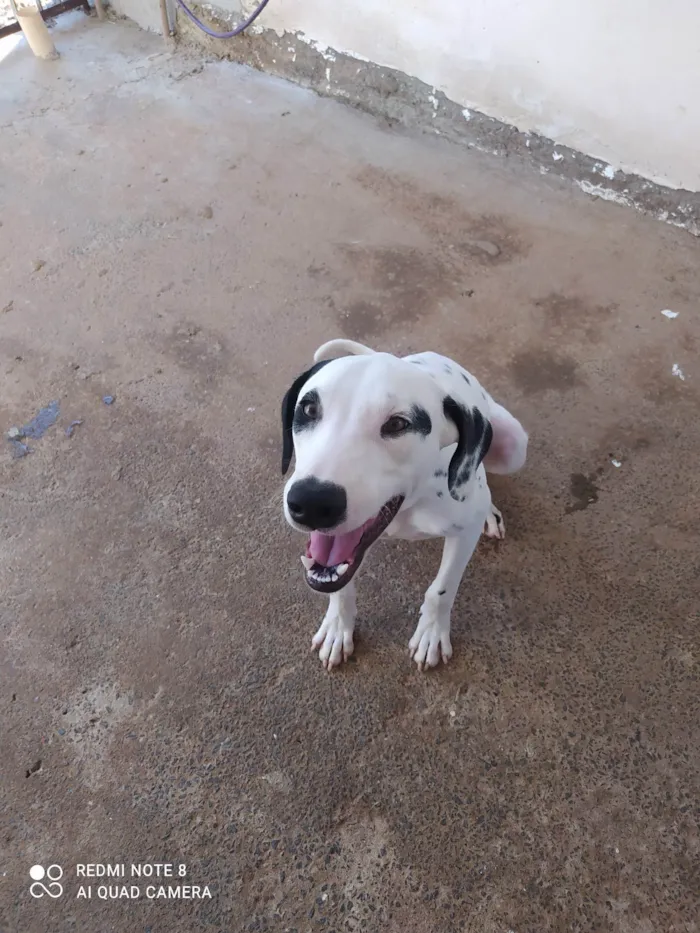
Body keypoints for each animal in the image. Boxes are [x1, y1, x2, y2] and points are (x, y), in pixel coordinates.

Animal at [278, 338, 524, 668]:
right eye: (308, 408)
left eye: (397, 424)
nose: (312, 502)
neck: (407, 509)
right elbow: (340, 586)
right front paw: (338, 626)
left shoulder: (464, 533)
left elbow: (442, 590)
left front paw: (432, 632)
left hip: (514, 445)